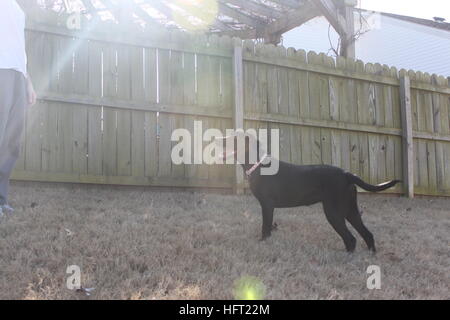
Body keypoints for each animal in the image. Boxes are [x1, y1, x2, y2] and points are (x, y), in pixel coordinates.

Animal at [220, 133, 400, 252]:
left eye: (234, 138)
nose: (218, 139)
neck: (259, 166)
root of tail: (347, 174)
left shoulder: (267, 205)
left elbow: (265, 228)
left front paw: (262, 243)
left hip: (333, 212)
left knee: (351, 239)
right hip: (351, 211)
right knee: (367, 234)